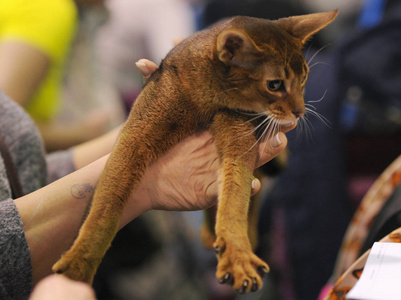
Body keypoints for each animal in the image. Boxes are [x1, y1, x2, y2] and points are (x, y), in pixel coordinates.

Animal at [51, 10, 336, 294]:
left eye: (304, 79)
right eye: (275, 85)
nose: (300, 112)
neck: (207, 101)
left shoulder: (238, 135)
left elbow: (235, 198)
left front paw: (238, 254)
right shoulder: (136, 135)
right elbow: (105, 209)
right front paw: (77, 267)